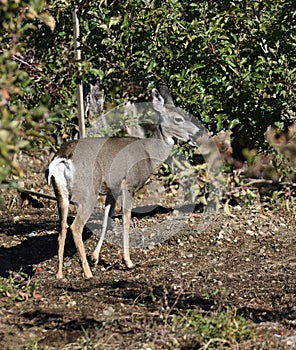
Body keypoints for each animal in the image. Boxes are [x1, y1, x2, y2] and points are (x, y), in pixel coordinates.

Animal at [46, 88, 199, 278]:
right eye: (178, 118)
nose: (198, 133)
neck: (149, 153)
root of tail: (63, 157)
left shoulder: (112, 190)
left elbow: (107, 221)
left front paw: (95, 257)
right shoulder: (129, 185)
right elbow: (126, 220)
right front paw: (128, 262)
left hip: (61, 193)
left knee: (62, 228)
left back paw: (60, 274)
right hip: (89, 191)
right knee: (75, 227)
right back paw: (88, 273)